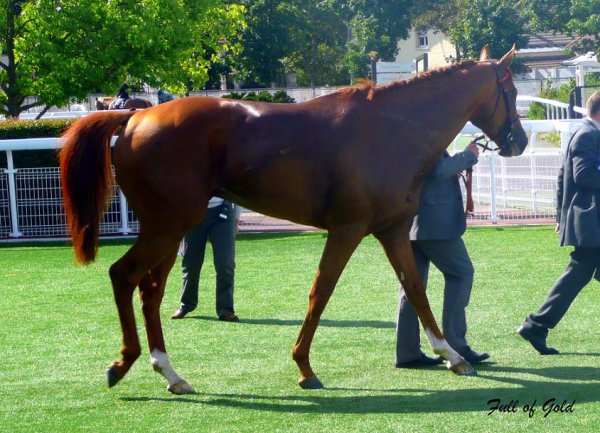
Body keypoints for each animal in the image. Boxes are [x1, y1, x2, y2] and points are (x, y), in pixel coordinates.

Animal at [61, 45, 528, 394]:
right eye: (511, 91)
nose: (520, 141)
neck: (392, 128)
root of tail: (134, 116)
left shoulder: (392, 230)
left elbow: (414, 288)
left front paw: (452, 355)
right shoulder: (347, 229)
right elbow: (321, 291)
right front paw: (304, 366)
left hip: (169, 229)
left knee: (151, 291)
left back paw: (170, 373)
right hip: (167, 226)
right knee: (124, 276)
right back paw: (124, 364)